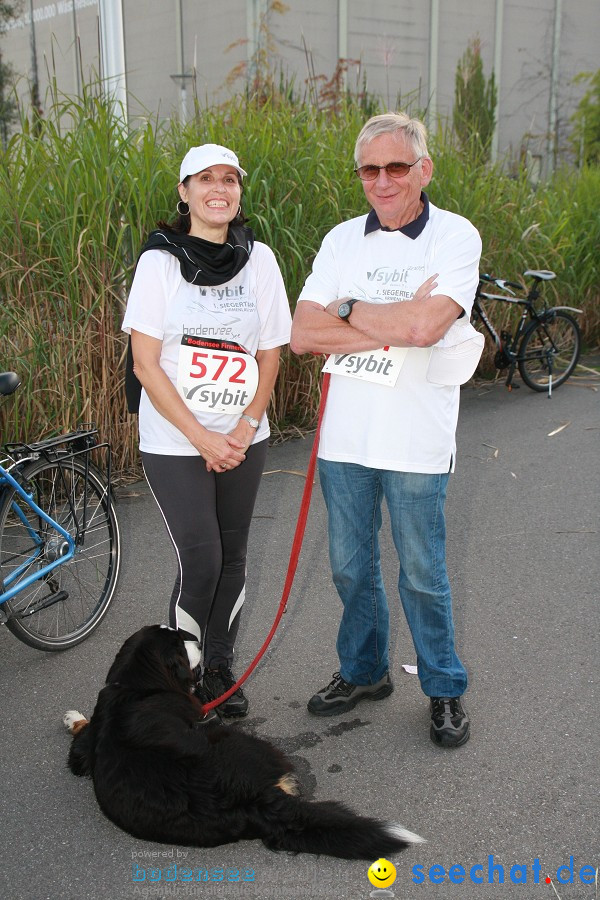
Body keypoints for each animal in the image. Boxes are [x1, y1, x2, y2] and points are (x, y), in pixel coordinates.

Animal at [64, 624, 422, 856]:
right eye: (181, 643)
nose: (198, 639)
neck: (135, 687)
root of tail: (253, 801)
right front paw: (72, 717)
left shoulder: (88, 744)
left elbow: (81, 742)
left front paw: (72, 717)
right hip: (236, 739)